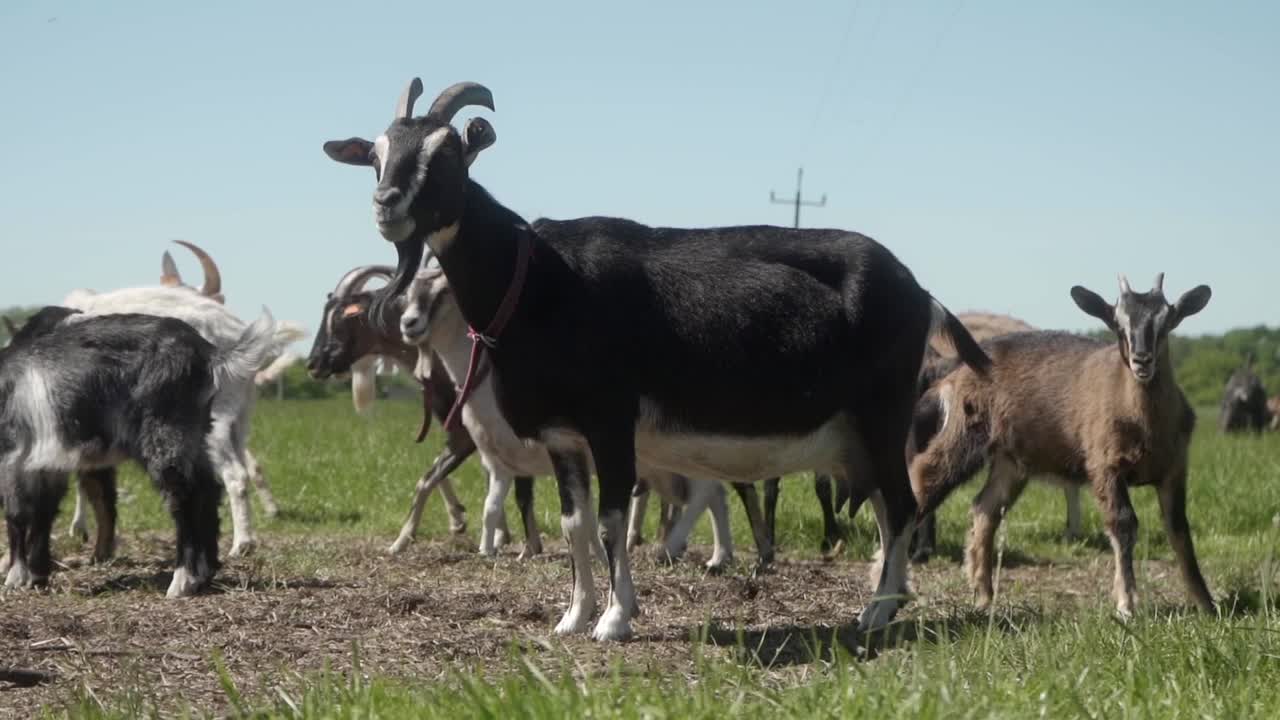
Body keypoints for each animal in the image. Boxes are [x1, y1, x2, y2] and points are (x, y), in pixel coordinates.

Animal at [1, 304, 276, 591]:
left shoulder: (13, 455)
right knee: (207, 490)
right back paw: (205, 573)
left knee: (184, 497)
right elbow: (43, 512)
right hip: (195, 433)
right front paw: (36, 575)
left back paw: (182, 580)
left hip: (164, 433)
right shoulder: (46, 462)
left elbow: (17, 513)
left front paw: (15, 577)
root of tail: (209, 353)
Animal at [325, 79, 983, 638]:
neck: (535, 278)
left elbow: (613, 519)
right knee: (888, 508)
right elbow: (575, 523)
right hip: (858, 434)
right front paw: (573, 617)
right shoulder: (563, 436)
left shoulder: (611, 421)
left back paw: (876, 614)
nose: (386, 204)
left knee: (902, 504)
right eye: (378, 154)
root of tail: (920, 291)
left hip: (882, 414)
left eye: (448, 153)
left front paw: (615, 620)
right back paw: (885, 602)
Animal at [906, 274, 1213, 617]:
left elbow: (1179, 529)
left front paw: (1206, 602)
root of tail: (955, 371)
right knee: (926, 475)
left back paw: (984, 595)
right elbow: (1123, 523)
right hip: (964, 432)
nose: (1142, 361)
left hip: (1011, 461)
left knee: (985, 508)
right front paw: (1126, 604)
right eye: (1117, 324)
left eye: (1167, 321)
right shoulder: (1105, 465)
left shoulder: (1174, 468)